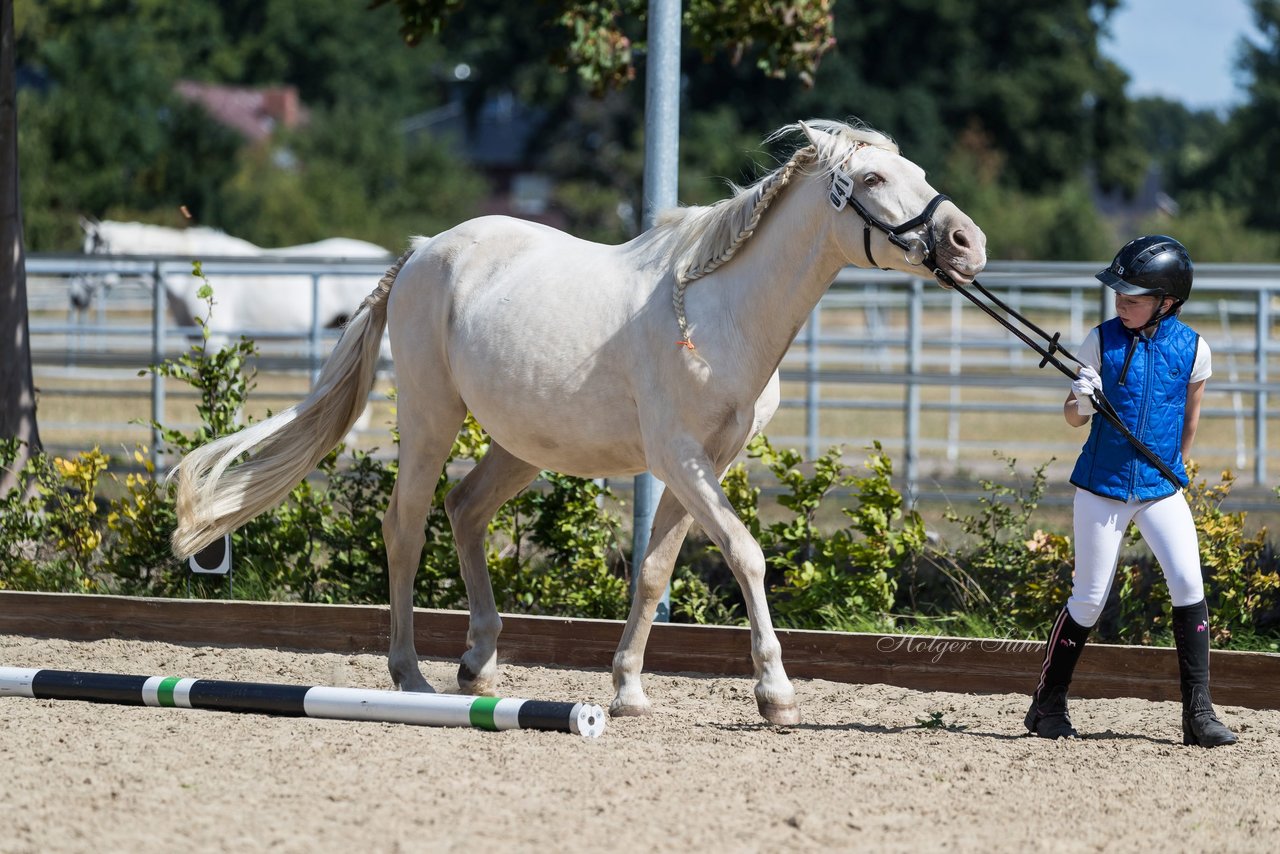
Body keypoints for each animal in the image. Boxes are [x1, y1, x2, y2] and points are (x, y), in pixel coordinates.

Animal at [170, 120, 988, 727]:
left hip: (523, 443)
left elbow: (654, 572)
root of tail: (420, 254)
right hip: (432, 417)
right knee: (405, 526)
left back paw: (478, 664)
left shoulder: (704, 464)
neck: (719, 312)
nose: (966, 244)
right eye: (874, 181)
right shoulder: (681, 457)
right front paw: (776, 696)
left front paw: (627, 690)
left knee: (464, 509)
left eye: (915, 169)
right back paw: (412, 676)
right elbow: (747, 554)